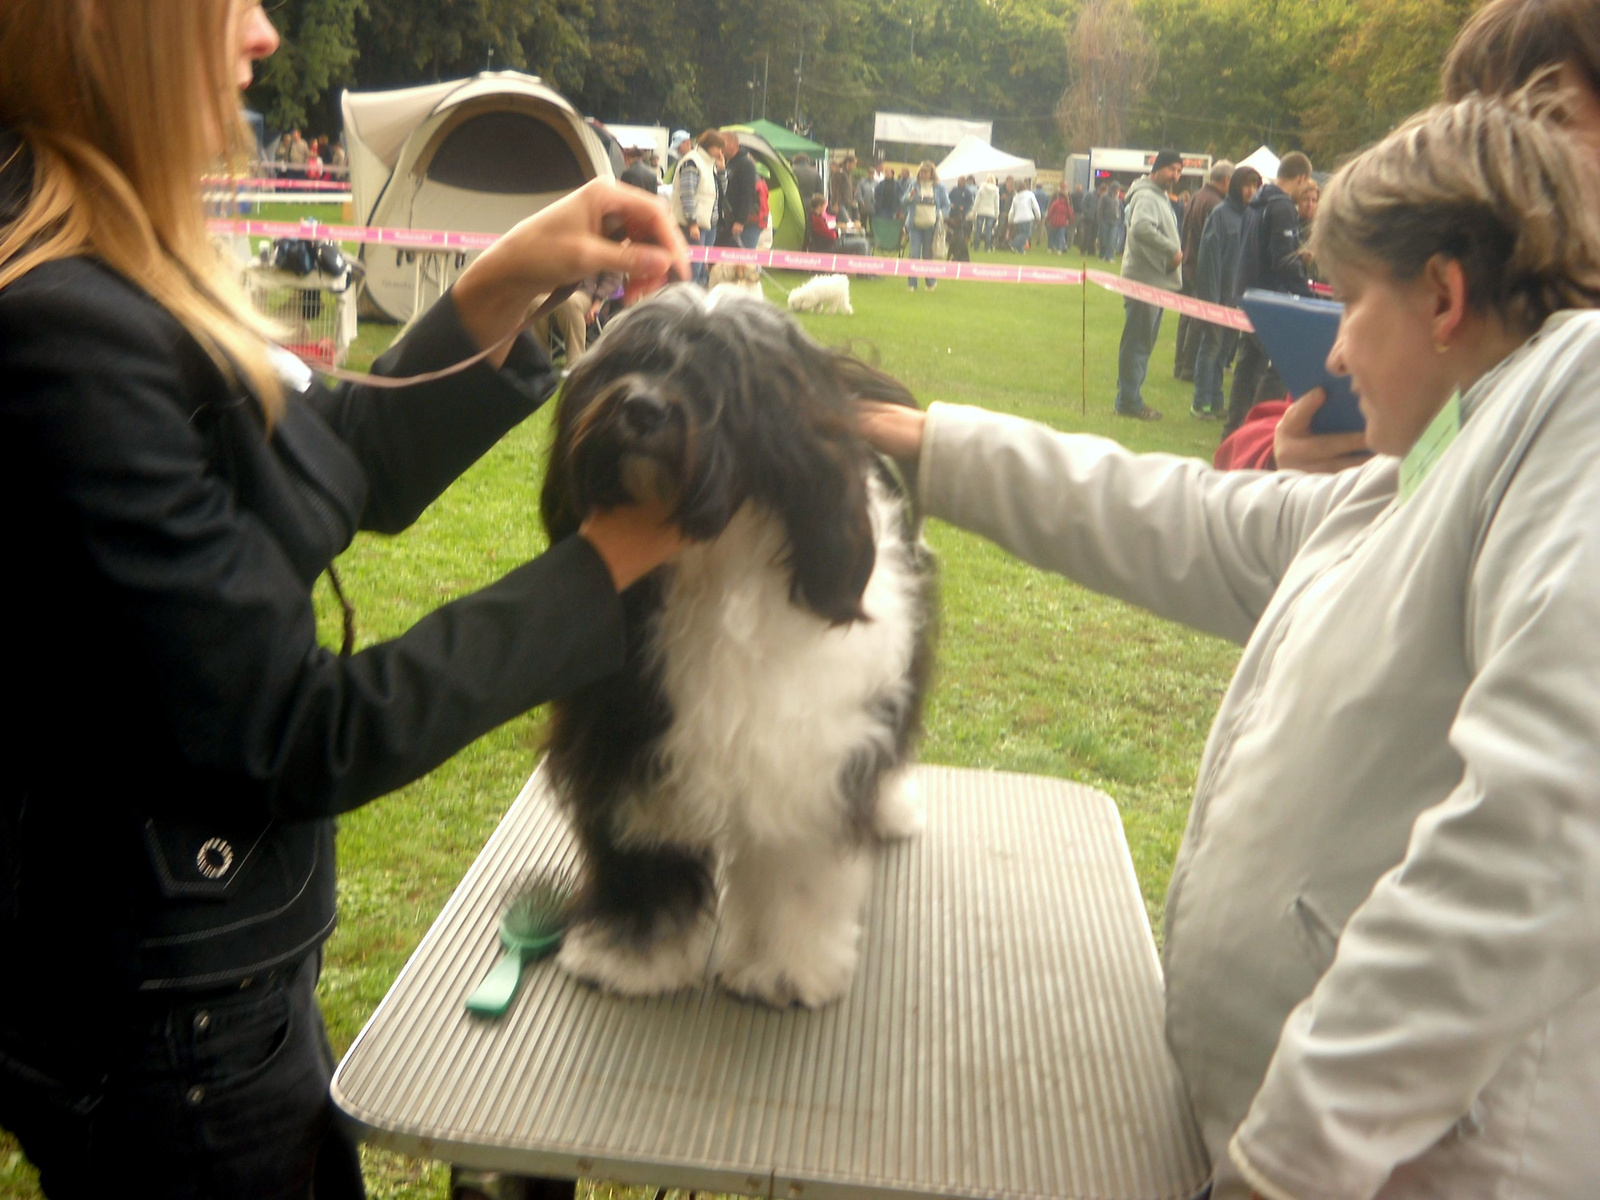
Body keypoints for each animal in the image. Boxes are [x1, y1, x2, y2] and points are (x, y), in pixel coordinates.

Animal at [540, 286, 934, 1011]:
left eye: (717, 381)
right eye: (627, 363)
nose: (643, 408)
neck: (714, 563)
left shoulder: (804, 757)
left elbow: (794, 866)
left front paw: (782, 969)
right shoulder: (631, 732)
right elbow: (645, 844)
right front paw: (631, 955)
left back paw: (890, 809)